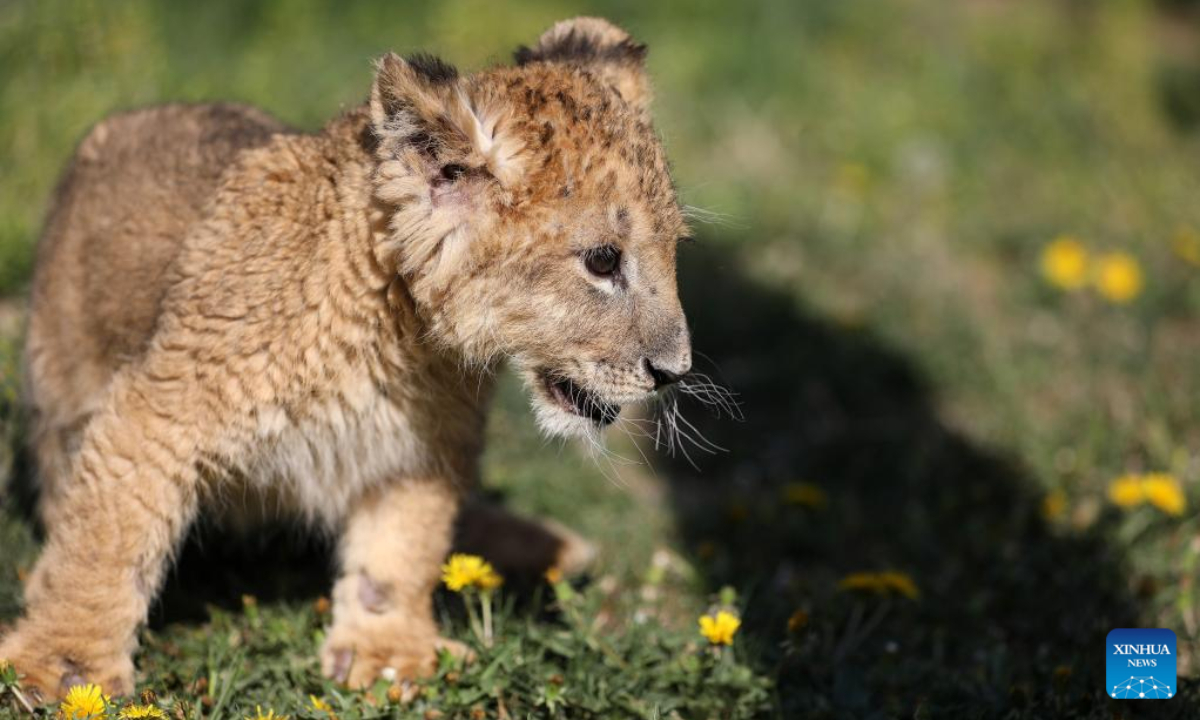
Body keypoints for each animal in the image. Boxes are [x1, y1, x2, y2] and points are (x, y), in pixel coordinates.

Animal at [0, 17, 693, 699]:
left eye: (672, 249)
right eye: (602, 260)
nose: (674, 372)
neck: (398, 333)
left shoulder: (418, 446)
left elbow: (400, 549)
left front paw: (387, 656)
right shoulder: (156, 410)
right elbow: (103, 545)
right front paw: (63, 666)